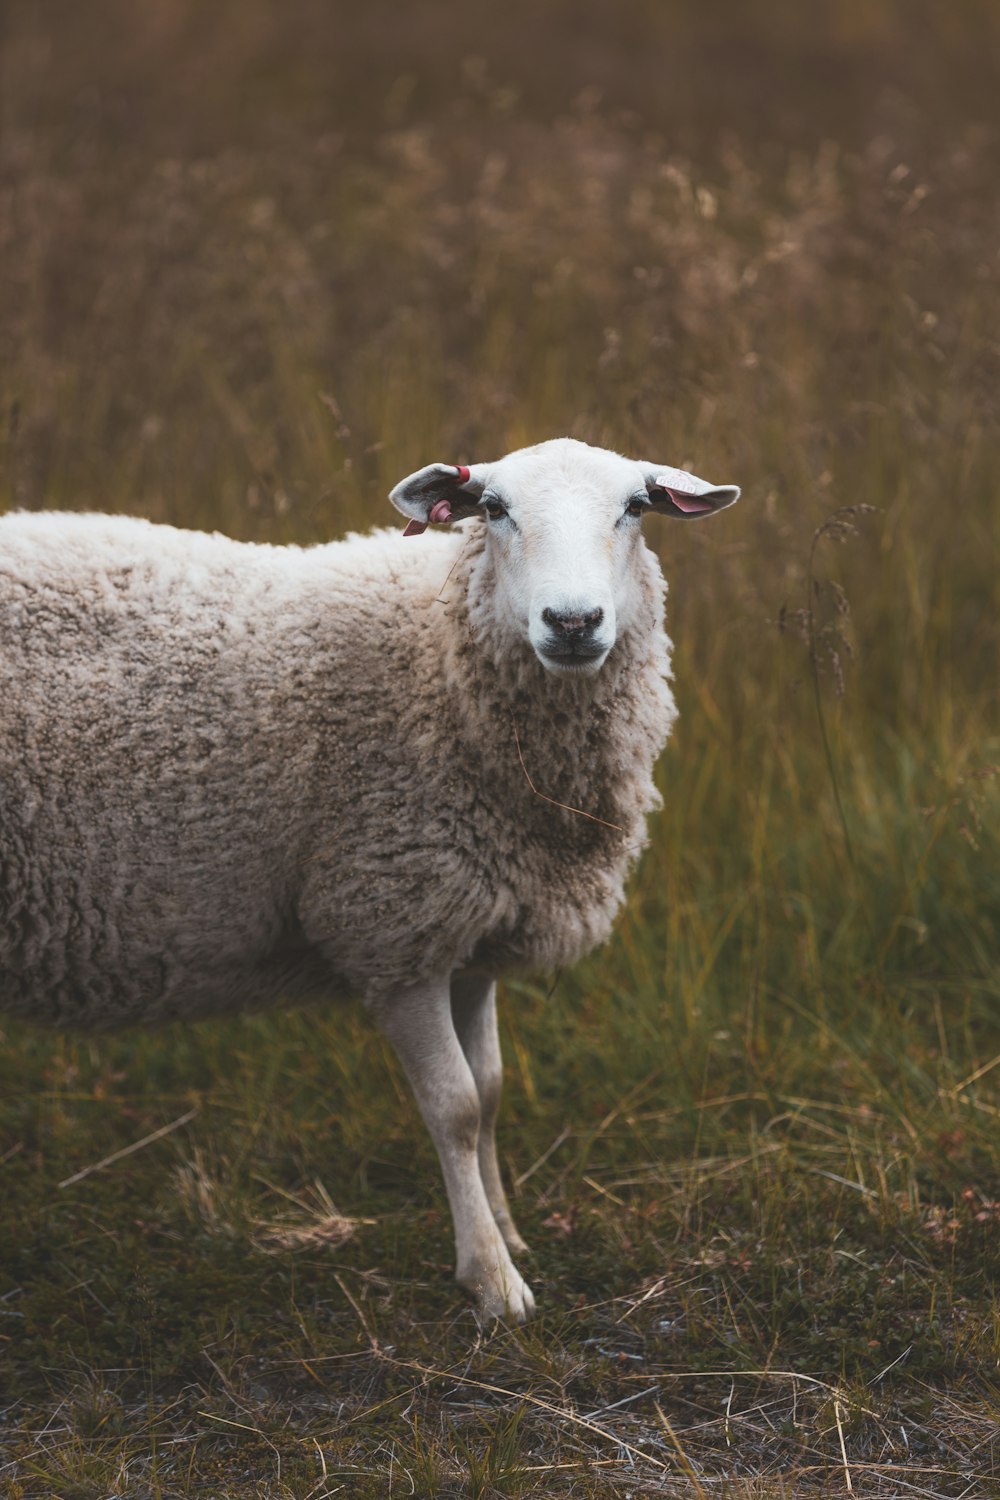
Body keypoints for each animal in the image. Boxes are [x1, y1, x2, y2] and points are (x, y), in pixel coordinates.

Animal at [0, 438, 734, 1320]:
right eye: (494, 509)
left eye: (635, 507)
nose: (572, 623)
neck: (435, 659)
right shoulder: (395, 925)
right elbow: (454, 1108)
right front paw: (492, 1280)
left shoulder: (474, 933)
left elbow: (491, 1090)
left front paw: (509, 1231)